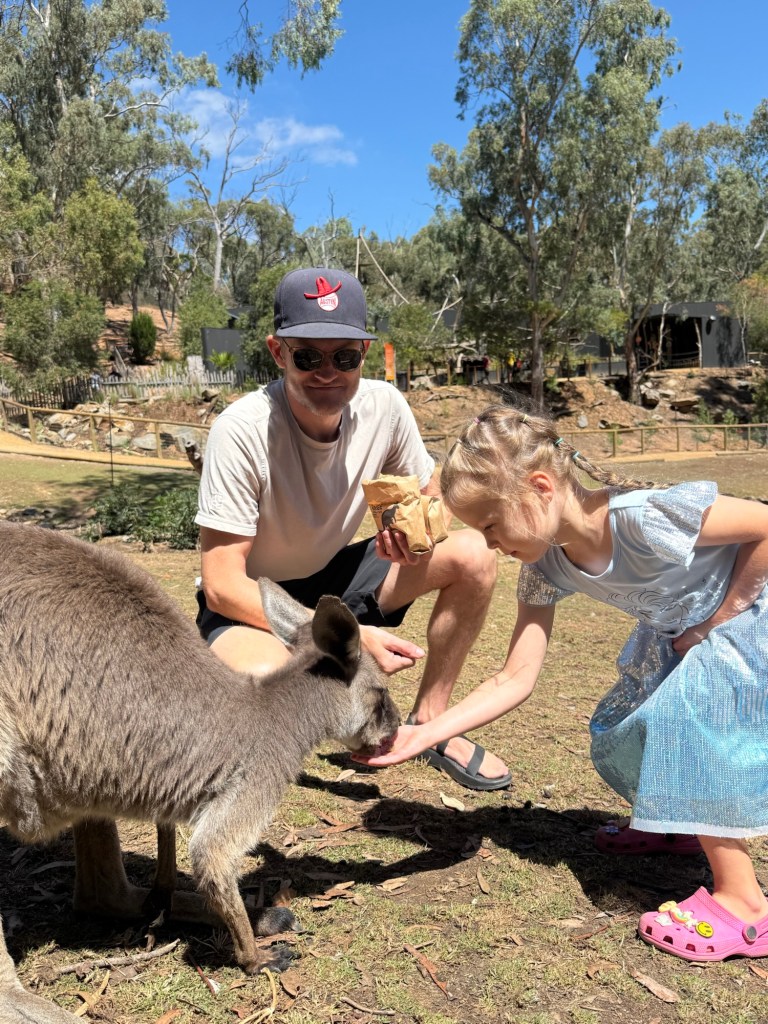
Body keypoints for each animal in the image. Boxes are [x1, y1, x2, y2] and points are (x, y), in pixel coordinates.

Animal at [0, 522, 400, 1022]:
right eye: (382, 694)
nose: (398, 727)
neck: (272, 712)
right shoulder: (255, 780)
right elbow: (211, 853)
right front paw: (254, 960)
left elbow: (172, 830)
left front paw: (175, 893)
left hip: (75, 762)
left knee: (99, 894)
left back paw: (229, 911)